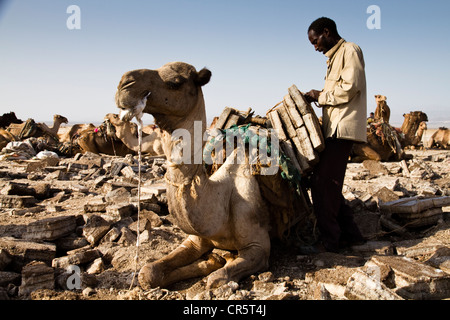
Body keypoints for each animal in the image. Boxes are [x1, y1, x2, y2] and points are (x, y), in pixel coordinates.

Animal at [114, 61, 310, 288]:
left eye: (175, 82)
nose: (124, 84)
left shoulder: (258, 247)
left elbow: (216, 279)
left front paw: (219, 263)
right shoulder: (195, 239)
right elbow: (148, 272)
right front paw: (213, 260)